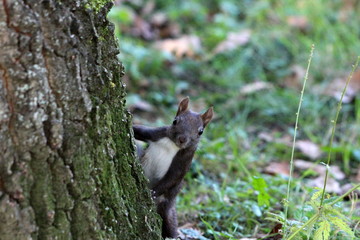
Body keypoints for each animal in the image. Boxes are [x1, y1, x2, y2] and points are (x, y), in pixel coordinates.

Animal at [134, 97, 214, 238]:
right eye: (175, 121)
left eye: (201, 131)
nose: (182, 139)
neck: (172, 145)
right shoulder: (155, 133)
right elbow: (138, 130)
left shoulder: (184, 161)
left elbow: (172, 178)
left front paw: (152, 192)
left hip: (167, 209)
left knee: (170, 225)